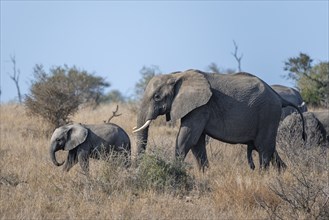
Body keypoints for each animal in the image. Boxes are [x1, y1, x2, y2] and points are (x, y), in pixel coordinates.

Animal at [133, 69, 304, 171]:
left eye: (157, 97)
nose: (137, 169)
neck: (177, 75)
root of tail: (279, 97)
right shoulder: (198, 107)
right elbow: (197, 143)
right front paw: (205, 174)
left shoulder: (201, 107)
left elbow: (187, 138)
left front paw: (175, 169)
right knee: (268, 148)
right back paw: (284, 172)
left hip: (268, 114)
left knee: (264, 149)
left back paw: (263, 176)